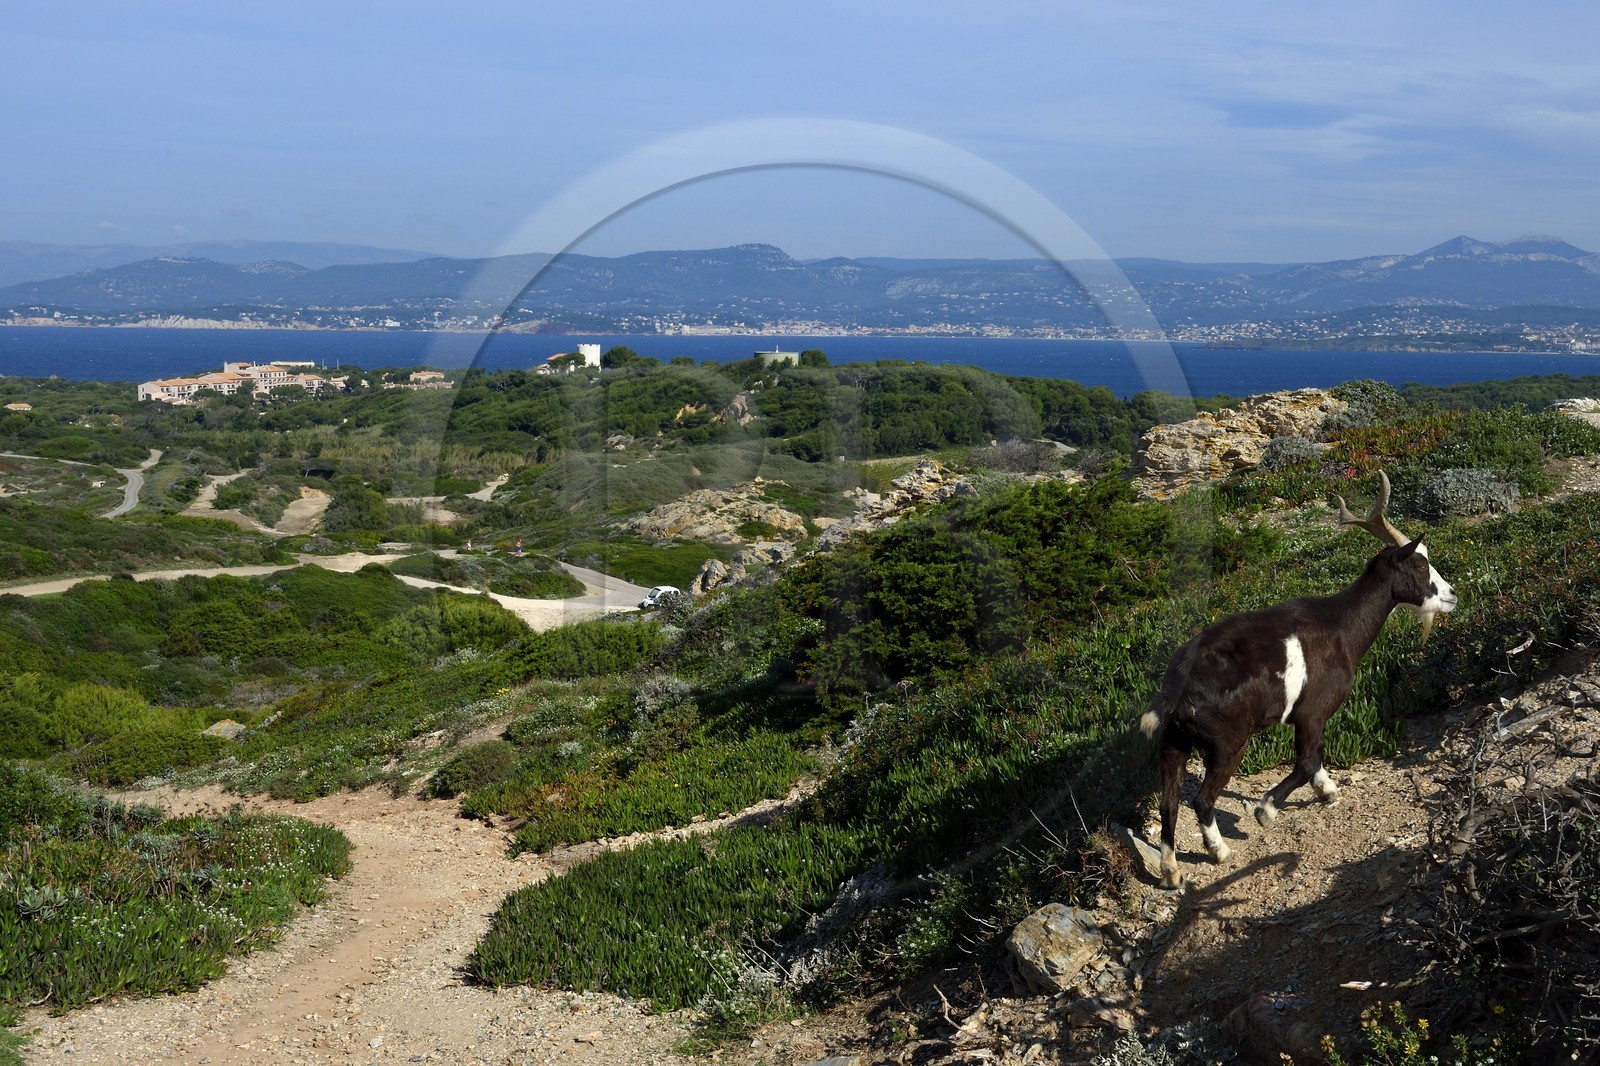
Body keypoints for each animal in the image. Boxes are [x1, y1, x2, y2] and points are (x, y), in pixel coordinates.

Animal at [1140, 472, 1457, 888]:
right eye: (1419, 564)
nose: (1451, 595)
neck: (1340, 627)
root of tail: (1177, 687)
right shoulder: (1313, 710)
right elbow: (1305, 761)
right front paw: (1266, 810)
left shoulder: (1307, 718)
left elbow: (1314, 757)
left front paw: (1328, 790)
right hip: (1227, 742)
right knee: (1202, 799)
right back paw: (1220, 851)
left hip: (1173, 742)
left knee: (1169, 802)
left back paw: (1171, 871)